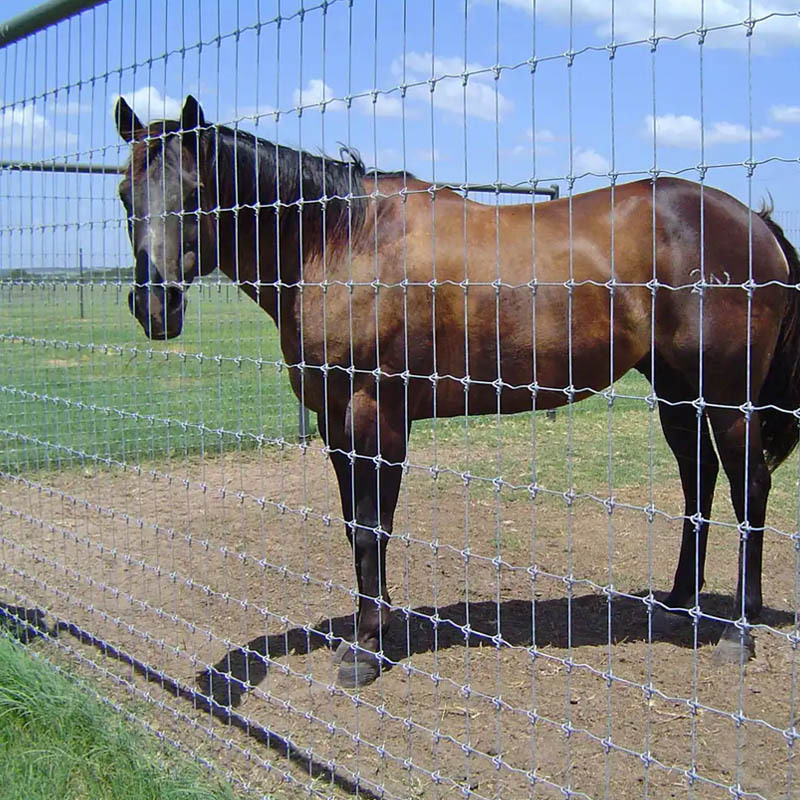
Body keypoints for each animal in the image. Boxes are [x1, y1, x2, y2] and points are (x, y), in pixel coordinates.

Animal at [114, 95, 800, 688]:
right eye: (125, 195)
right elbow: (357, 525)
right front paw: (375, 623)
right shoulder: (336, 420)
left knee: (748, 487)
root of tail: (757, 224)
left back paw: (738, 631)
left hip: (728, 397)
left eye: (196, 195)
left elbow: (372, 526)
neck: (340, 240)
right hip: (678, 390)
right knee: (697, 480)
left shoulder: (376, 413)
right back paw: (680, 600)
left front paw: (365, 648)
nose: (154, 305)